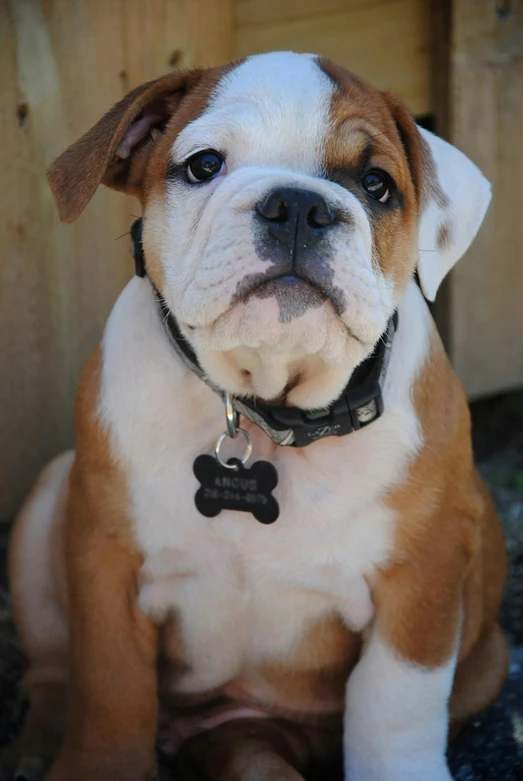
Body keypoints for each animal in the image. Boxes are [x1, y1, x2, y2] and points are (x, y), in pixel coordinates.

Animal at [1, 53, 508, 780]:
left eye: (376, 185)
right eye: (203, 165)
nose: (296, 204)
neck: (267, 407)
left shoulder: (423, 580)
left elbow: (394, 708)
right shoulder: (103, 559)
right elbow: (108, 688)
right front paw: (94, 762)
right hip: (48, 496)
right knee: (50, 670)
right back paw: (34, 746)